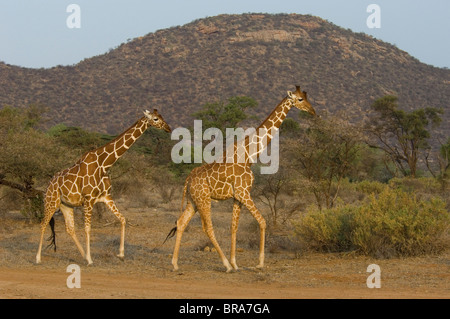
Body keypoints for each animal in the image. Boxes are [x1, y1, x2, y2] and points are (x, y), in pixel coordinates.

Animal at [35, 109, 171, 264]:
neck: (104, 164)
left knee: (70, 229)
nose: (168, 128)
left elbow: (123, 219)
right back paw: (38, 258)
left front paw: (121, 254)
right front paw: (90, 259)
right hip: (51, 202)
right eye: (155, 119)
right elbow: (88, 228)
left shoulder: (106, 197)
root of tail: (49, 184)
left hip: (66, 205)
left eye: (161, 116)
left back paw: (82, 255)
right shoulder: (88, 199)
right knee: (43, 224)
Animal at [169, 86, 316, 272]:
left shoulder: (237, 197)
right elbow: (262, 221)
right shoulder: (244, 193)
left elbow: (234, 227)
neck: (249, 156)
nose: (313, 111)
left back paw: (175, 264)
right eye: (300, 99)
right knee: (207, 227)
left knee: (181, 223)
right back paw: (225, 265)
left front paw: (235, 262)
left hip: (193, 201)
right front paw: (259, 263)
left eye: (306, 97)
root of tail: (188, 179)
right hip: (203, 199)